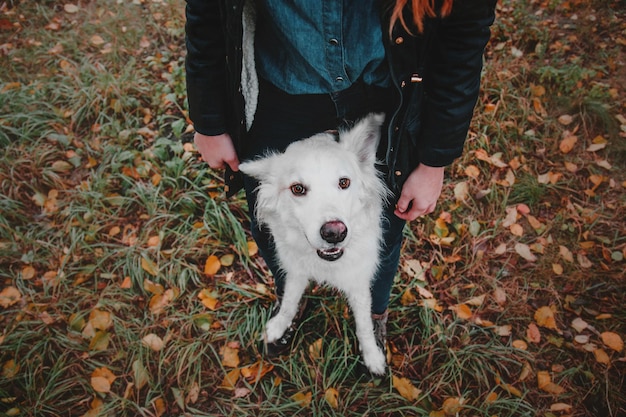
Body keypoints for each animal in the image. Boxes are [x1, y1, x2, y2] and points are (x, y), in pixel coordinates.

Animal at [240, 111, 390, 374]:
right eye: (298, 188)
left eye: (344, 182)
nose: (335, 232)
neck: (326, 264)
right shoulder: (295, 270)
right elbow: (289, 301)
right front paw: (278, 327)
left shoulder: (358, 281)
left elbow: (363, 323)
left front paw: (372, 355)